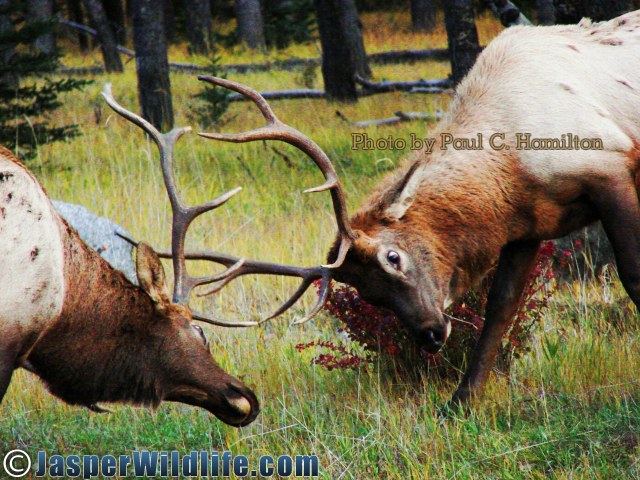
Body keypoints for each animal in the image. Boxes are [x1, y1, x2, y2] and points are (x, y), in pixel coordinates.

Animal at [190, 9, 640, 408]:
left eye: (393, 256)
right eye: (367, 294)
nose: (429, 335)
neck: (513, 165)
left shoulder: (608, 165)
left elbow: (631, 277)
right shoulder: (529, 224)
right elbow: (499, 308)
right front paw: (459, 404)